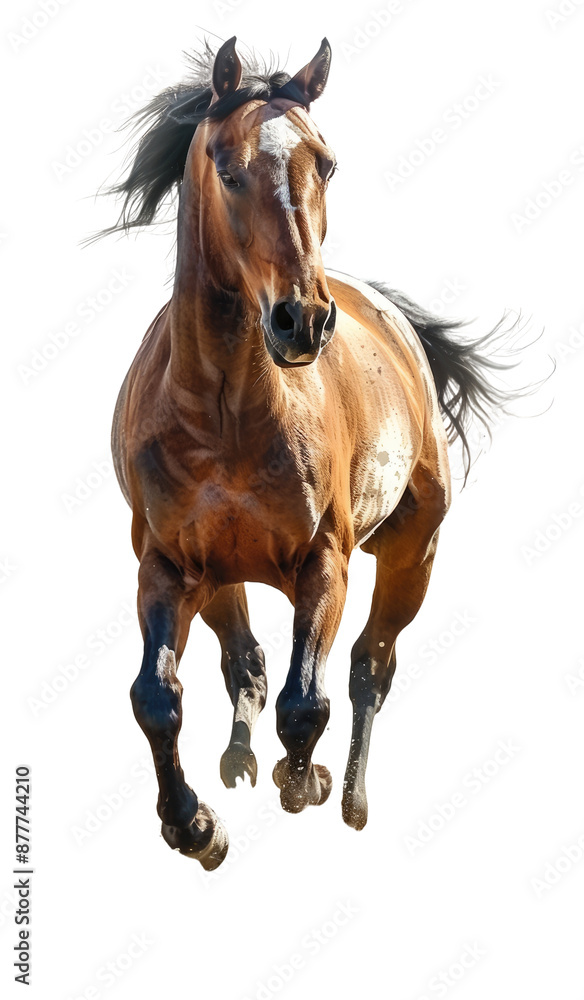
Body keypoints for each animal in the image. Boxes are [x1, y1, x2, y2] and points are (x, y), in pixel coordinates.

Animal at [102, 36, 515, 869]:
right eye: (228, 168)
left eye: (324, 164)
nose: (303, 320)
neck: (223, 415)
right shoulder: (166, 562)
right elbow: (158, 697)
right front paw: (193, 825)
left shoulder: (326, 558)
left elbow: (307, 700)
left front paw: (304, 781)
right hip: (219, 578)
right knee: (248, 665)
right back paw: (237, 760)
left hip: (413, 553)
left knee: (368, 668)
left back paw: (350, 795)